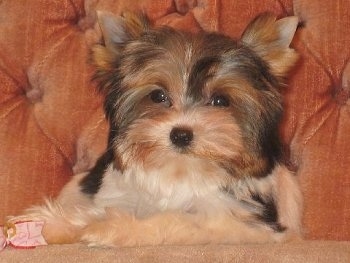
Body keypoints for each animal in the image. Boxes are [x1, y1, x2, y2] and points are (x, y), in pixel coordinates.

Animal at [9, 11, 302, 249]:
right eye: (158, 96)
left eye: (220, 101)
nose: (181, 134)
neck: (179, 170)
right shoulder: (117, 193)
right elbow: (97, 209)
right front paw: (49, 222)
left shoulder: (243, 223)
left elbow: (178, 221)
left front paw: (114, 228)